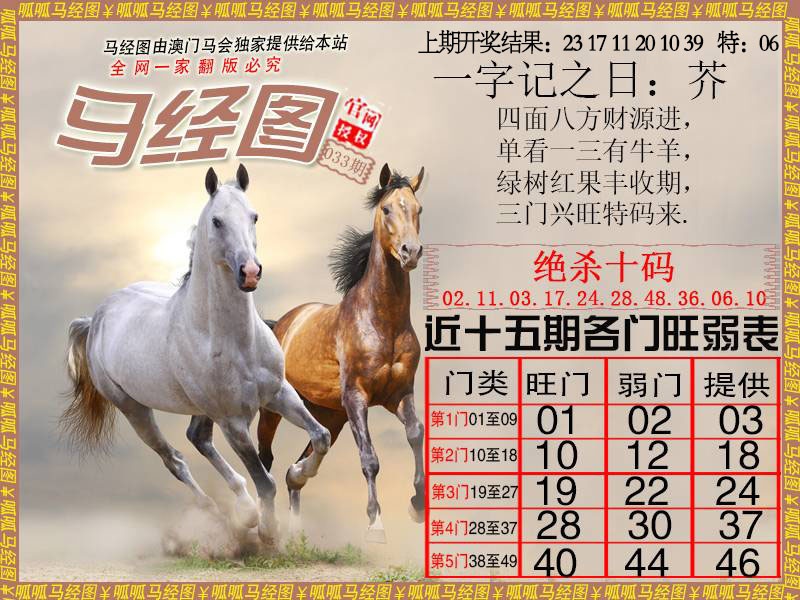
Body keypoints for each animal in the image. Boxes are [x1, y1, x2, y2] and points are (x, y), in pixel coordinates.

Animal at [63, 165, 331, 543]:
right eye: (217, 221)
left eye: (254, 216)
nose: (250, 272)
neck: (235, 341)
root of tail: (96, 317)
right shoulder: (233, 422)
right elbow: (265, 480)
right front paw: (268, 531)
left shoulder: (278, 393)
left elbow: (320, 437)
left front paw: (298, 474)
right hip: (134, 409)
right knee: (174, 459)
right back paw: (225, 516)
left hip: (200, 409)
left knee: (197, 438)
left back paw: (243, 509)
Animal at [256, 163, 425, 543]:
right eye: (386, 209)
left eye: (418, 209)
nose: (410, 252)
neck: (382, 321)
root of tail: (280, 324)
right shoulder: (357, 397)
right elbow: (370, 458)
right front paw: (376, 524)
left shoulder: (399, 394)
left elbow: (415, 434)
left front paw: (417, 505)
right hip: (275, 409)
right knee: (265, 458)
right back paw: (264, 524)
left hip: (329, 414)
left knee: (298, 466)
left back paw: (297, 509)